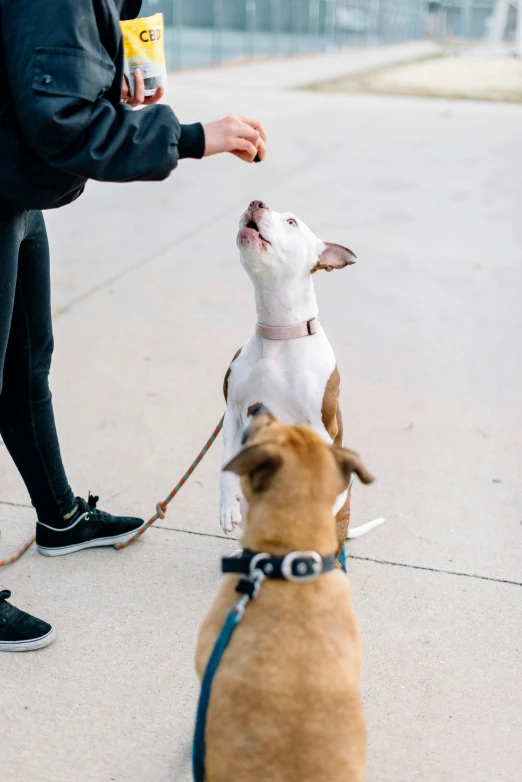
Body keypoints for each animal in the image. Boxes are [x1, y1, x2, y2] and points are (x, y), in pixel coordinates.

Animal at [218, 201, 382, 556]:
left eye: (291, 222)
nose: (256, 202)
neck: (278, 333)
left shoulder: (321, 426)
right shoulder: (233, 414)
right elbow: (226, 466)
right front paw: (227, 508)